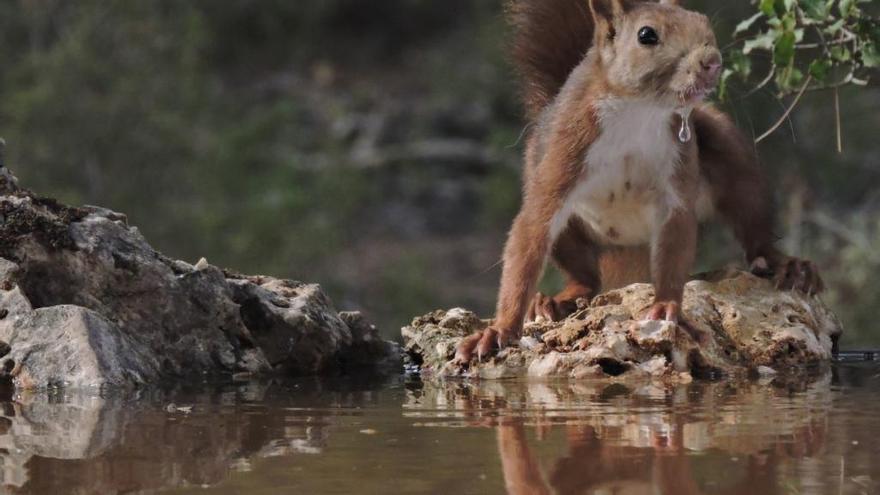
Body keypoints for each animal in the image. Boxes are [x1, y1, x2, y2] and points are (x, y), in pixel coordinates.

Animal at [454, 0, 824, 364]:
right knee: (585, 277)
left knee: (752, 222)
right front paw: (498, 330)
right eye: (646, 35)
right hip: (559, 210)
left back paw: (786, 265)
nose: (712, 62)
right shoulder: (565, 150)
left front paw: (667, 306)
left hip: (727, 149)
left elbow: (676, 241)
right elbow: (533, 229)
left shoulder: (678, 174)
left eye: (703, 22)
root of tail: (627, 249)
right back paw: (555, 301)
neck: (639, 111)